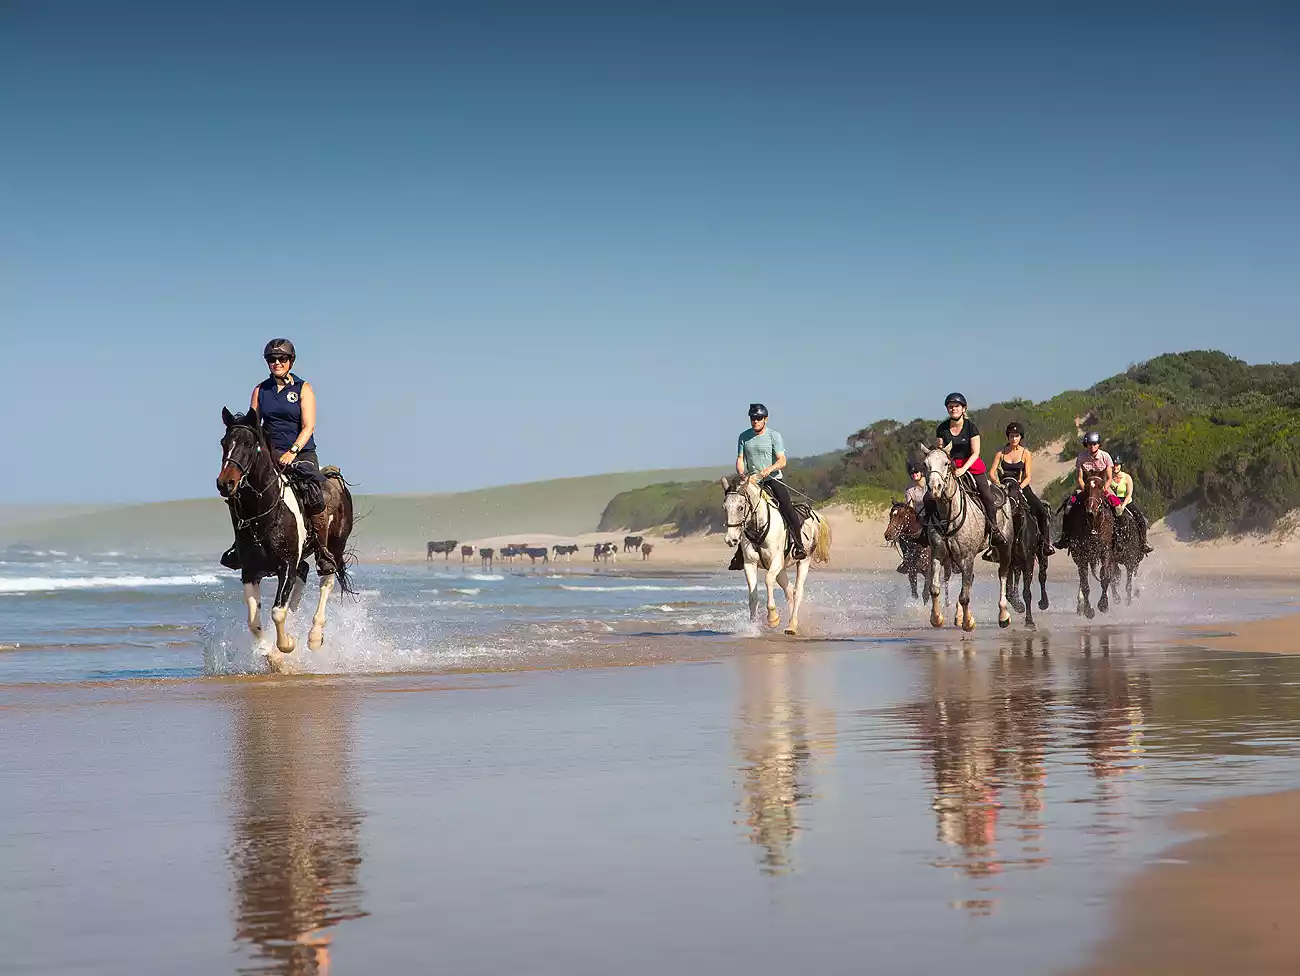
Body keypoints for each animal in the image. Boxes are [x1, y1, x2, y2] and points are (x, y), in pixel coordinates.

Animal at [217, 408, 355, 663]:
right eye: (223, 443)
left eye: (249, 444)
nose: (225, 483)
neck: (263, 513)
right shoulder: (249, 571)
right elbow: (254, 621)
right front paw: (269, 654)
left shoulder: (287, 566)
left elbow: (277, 612)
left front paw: (287, 645)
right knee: (304, 571)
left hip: (335, 547)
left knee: (327, 579)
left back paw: (314, 637)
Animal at [721, 476, 831, 635]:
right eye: (725, 508)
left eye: (740, 507)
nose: (731, 539)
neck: (758, 528)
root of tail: (814, 514)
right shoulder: (749, 564)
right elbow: (753, 596)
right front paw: (752, 627)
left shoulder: (776, 561)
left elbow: (768, 580)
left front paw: (773, 618)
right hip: (781, 569)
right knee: (789, 591)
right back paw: (791, 623)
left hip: (803, 561)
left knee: (797, 592)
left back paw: (792, 626)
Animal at [919, 445, 1013, 631]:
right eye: (925, 464)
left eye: (946, 463)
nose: (935, 488)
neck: (948, 515)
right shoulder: (937, 555)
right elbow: (935, 588)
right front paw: (937, 618)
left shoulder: (967, 557)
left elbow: (964, 595)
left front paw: (968, 622)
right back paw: (959, 615)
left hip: (1005, 546)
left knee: (1003, 575)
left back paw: (1003, 615)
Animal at [1002, 479, 1049, 628]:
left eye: (1017, 491)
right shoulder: (1008, 561)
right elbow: (1009, 590)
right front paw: (1018, 606)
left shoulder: (1028, 561)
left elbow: (1027, 592)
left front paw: (1029, 621)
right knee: (1016, 577)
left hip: (1042, 554)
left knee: (1042, 576)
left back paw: (1044, 603)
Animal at [1061, 473, 1116, 618]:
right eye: (1085, 488)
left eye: (1101, 486)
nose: (1091, 510)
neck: (1093, 525)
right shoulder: (1081, 555)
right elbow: (1085, 583)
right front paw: (1088, 610)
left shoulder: (1105, 551)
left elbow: (1105, 577)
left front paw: (1103, 604)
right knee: (1082, 578)